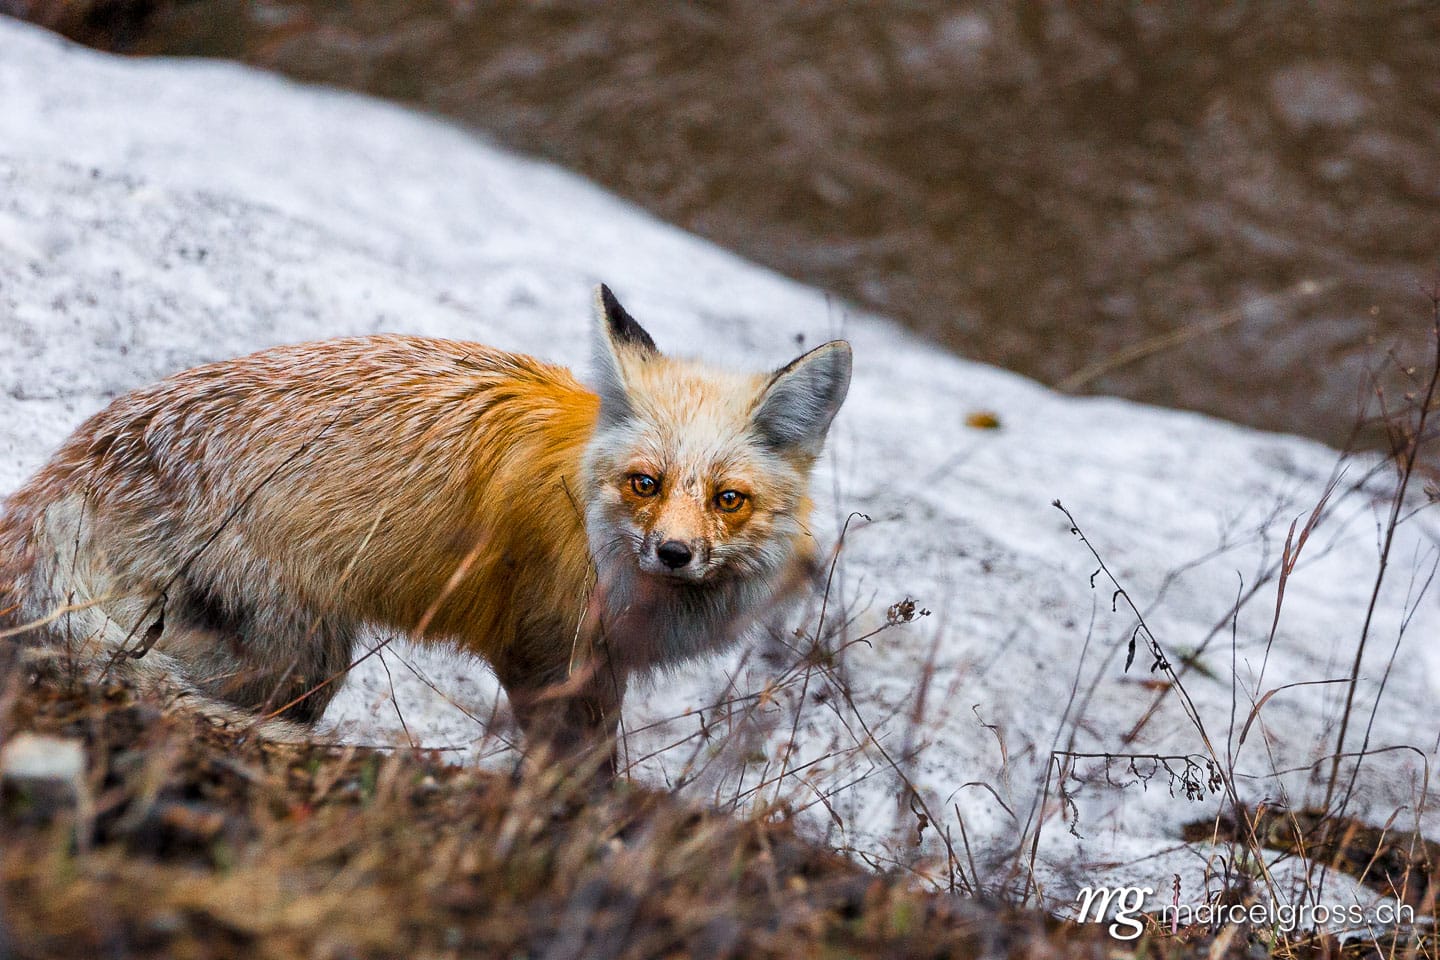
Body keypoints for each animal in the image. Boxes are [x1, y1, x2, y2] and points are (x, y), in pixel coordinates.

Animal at [0, 285, 851, 775]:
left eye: (728, 499)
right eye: (646, 484)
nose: (674, 553)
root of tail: (82, 454)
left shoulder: (596, 666)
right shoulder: (542, 651)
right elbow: (577, 772)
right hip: (304, 662)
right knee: (141, 674)